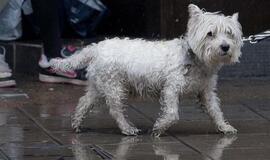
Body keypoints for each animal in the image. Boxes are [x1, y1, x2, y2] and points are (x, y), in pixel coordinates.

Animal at [49, 4, 244, 136]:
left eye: (229, 33)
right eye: (210, 33)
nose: (225, 47)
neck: (194, 57)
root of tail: (96, 48)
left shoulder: (206, 91)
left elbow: (215, 110)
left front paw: (224, 127)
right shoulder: (171, 88)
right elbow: (172, 113)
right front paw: (159, 128)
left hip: (99, 85)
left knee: (84, 102)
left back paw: (76, 124)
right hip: (114, 87)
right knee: (115, 110)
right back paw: (127, 128)